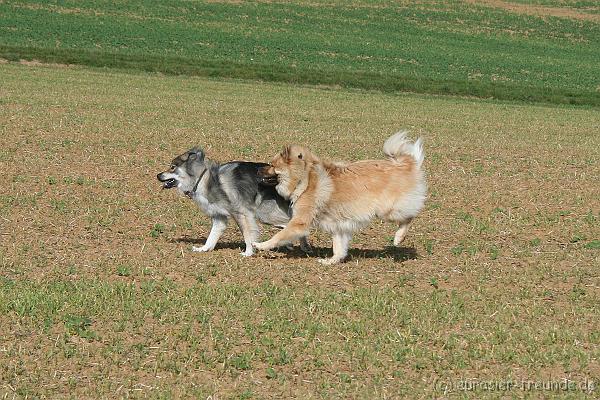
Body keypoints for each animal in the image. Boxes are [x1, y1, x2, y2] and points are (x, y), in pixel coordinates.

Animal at [157, 147, 310, 256]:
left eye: (172, 167)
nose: (158, 175)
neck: (202, 179)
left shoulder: (240, 213)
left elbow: (247, 234)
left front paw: (248, 252)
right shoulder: (219, 218)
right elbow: (212, 237)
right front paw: (204, 249)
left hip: (265, 214)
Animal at [253, 130, 426, 264]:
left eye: (272, 165)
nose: (257, 170)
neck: (304, 180)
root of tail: (405, 164)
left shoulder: (299, 222)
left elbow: (279, 236)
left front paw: (260, 245)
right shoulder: (338, 225)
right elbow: (339, 247)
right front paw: (332, 261)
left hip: (389, 210)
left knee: (410, 217)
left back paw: (398, 238)